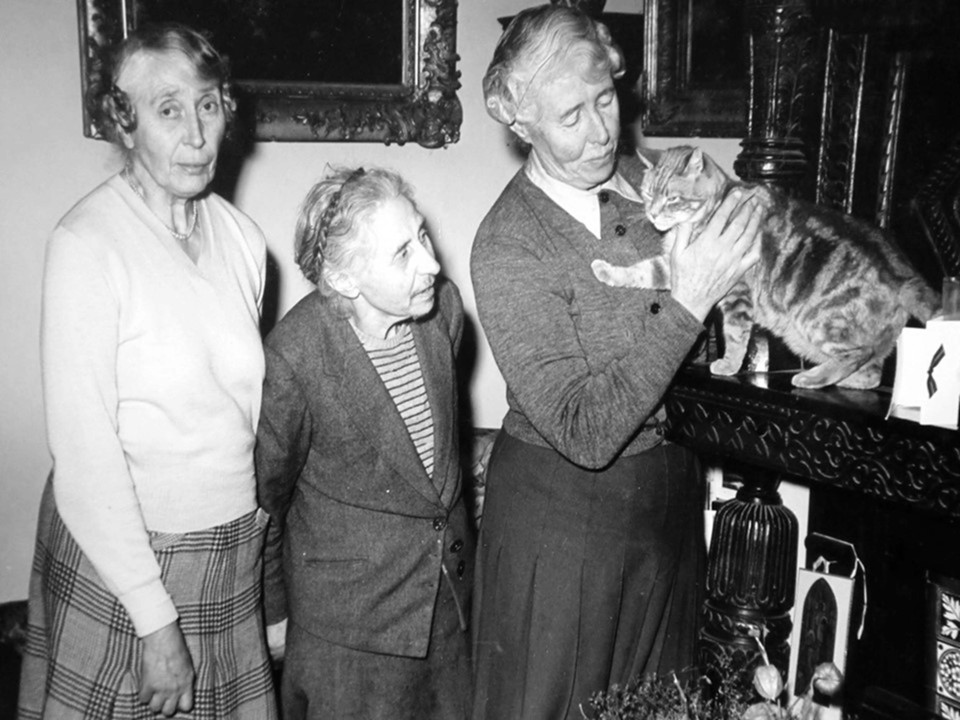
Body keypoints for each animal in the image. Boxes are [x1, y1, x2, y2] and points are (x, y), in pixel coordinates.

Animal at [591, 145, 940, 389]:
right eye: (648, 193)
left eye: (673, 198)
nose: (652, 213)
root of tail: (902, 272)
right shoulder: (675, 268)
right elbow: (640, 271)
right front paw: (606, 270)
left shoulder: (736, 296)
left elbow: (735, 337)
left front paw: (728, 365)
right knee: (872, 374)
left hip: (819, 324)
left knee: (859, 355)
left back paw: (812, 379)